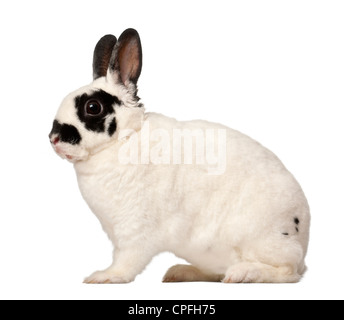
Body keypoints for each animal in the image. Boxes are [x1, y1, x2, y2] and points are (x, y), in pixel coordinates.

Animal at [49, 27, 310, 282]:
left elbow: (127, 261)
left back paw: (243, 274)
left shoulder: (134, 230)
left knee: (289, 271)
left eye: (93, 107)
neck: (124, 138)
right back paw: (180, 272)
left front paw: (104, 277)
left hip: (261, 239)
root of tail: (303, 235)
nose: (53, 138)